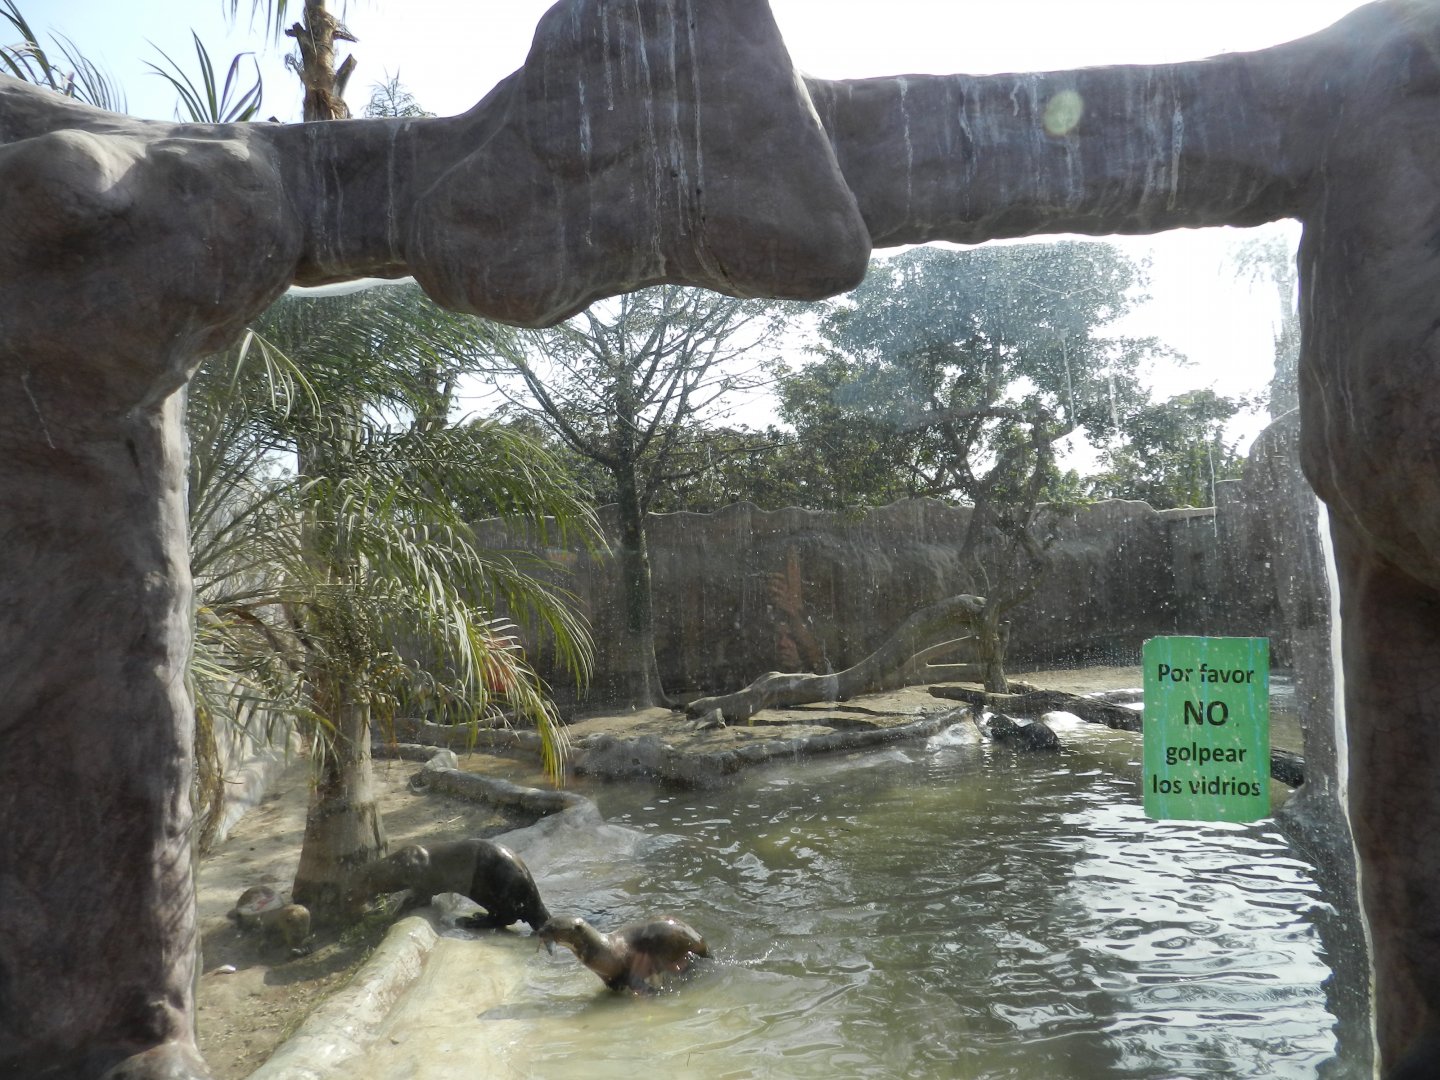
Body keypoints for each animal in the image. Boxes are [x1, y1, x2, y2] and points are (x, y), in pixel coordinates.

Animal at [356, 838, 550, 932]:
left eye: (353, 889)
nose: (353, 898)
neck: (403, 865)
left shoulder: (422, 884)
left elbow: (418, 897)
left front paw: (398, 911)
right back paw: (477, 916)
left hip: (494, 891)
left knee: (507, 917)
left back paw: (470, 922)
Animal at [538, 915, 709, 992]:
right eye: (545, 923)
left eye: (552, 927)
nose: (539, 931)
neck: (605, 950)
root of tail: (698, 937)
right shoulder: (609, 979)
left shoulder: (628, 967)